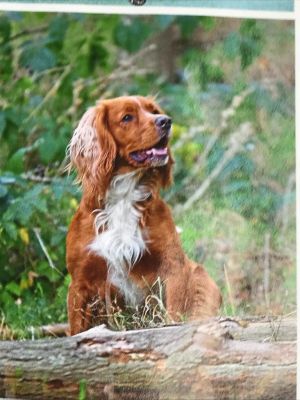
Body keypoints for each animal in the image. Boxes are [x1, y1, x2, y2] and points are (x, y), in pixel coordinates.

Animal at [66, 96, 220, 334]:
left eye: (153, 111)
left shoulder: (173, 267)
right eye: (127, 117)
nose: (166, 121)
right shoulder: (80, 281)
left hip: (200, 276)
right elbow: (76, 330)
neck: (124, 197)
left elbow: (174, 315)